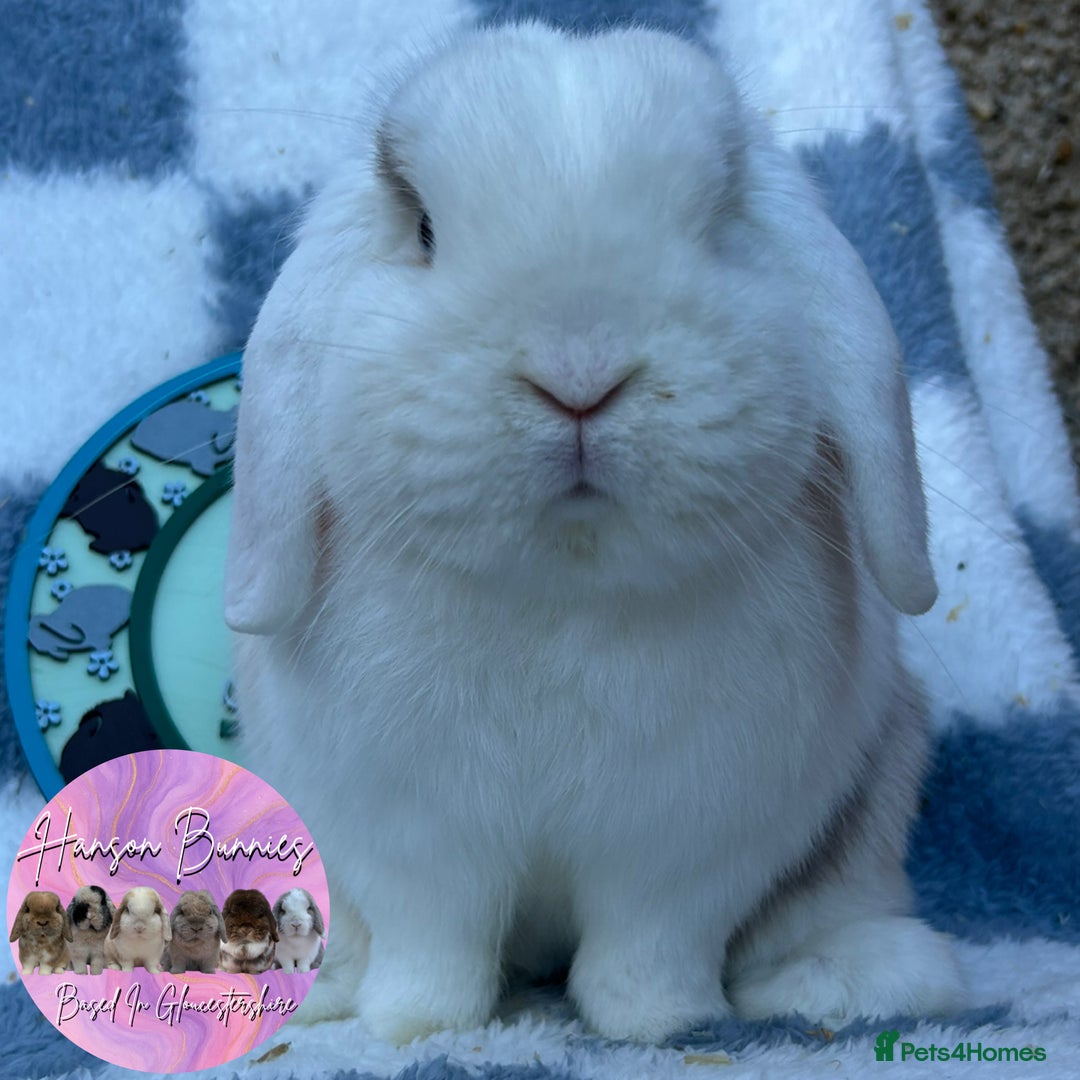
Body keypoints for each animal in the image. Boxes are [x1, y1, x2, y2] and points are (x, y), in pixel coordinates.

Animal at [225, 21, 964, 1044]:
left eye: (719, 221)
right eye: (424, 229)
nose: (579, 372)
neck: (563, 586)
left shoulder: (686, 850)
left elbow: (647, 945)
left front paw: (660, 1025)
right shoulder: (414, 842)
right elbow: (432, 945)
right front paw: (415, 1028)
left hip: (883, 784)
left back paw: (845, 982)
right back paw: (323, 998)